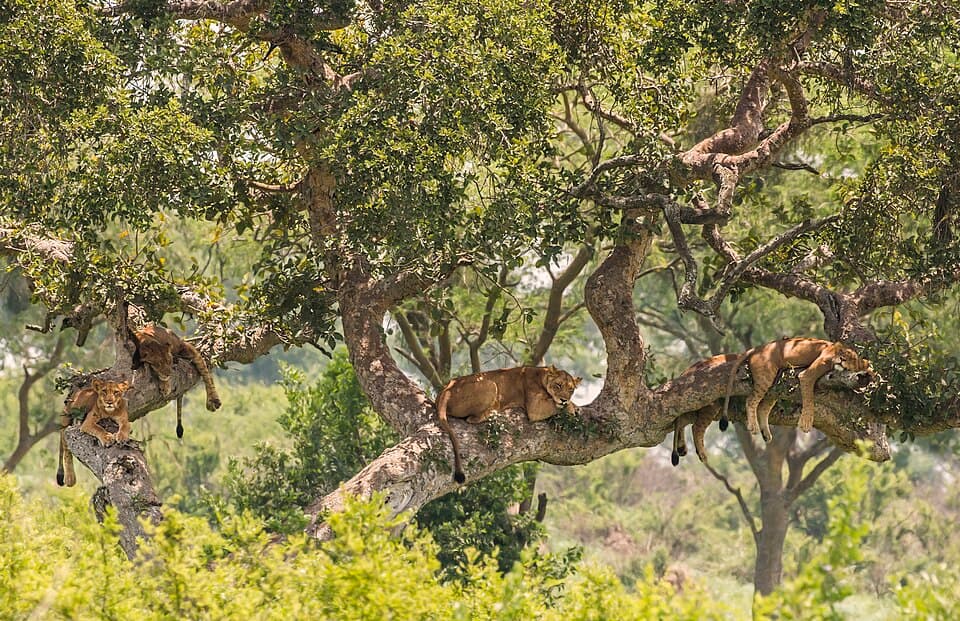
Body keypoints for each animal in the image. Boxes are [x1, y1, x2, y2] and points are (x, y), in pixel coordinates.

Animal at [436, 365, 581, 483]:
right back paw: (494, 411)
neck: (542, 376)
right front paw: (570, 407)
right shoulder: (535, 408)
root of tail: (447, 389)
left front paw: (574, 406)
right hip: (490, 384)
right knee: (472, 419)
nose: (564, 399)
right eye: (558, 385)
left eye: (571, 389)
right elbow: (555, 404)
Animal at [723, 337, 874, 441]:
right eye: (842, 352)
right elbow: (809, 399)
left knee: (763, 407)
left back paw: (765, 433)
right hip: (766, 376)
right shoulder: (806, 375)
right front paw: (806, 422)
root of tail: (758, 347)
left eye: (852, 359)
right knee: (751, 400)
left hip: (775, 384)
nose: (842, 359)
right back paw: (753, 427)